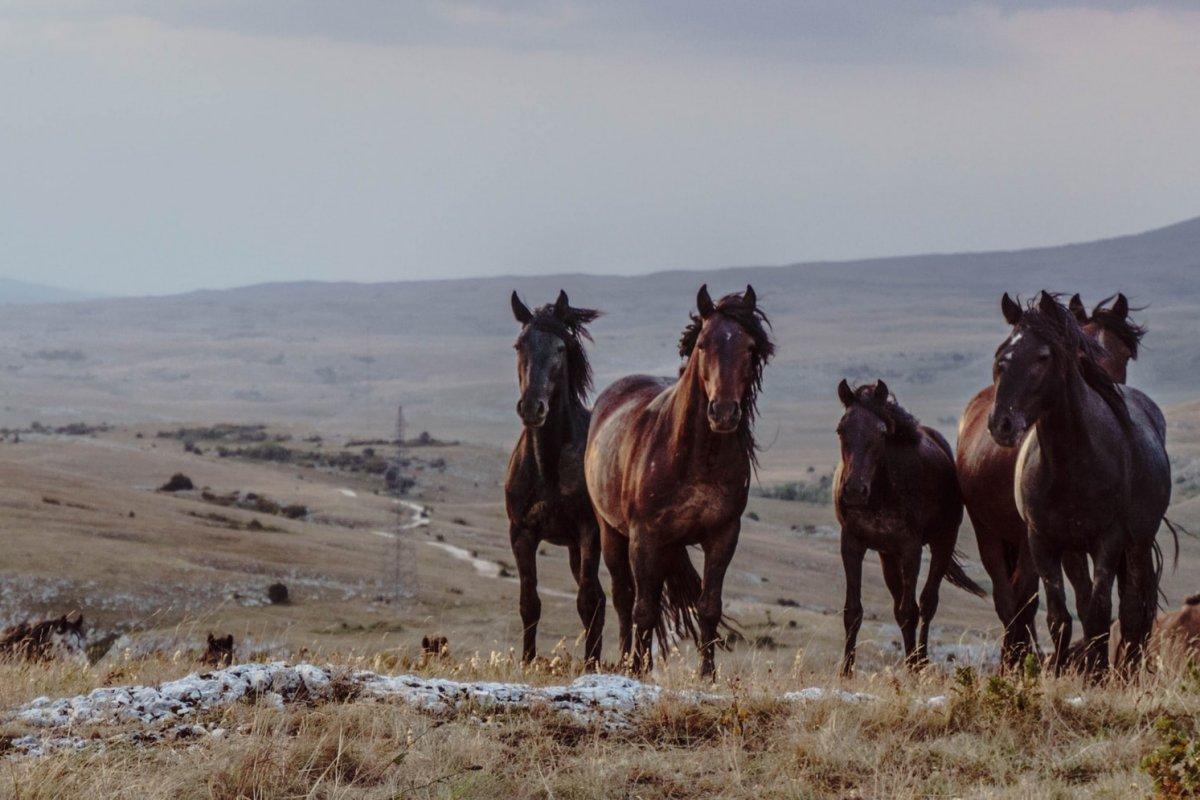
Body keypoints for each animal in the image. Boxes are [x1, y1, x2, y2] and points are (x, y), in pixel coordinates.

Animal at [501, 291, 604, 666]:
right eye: (519, 345)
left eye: (561, 348)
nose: (533, 407)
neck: (548, 466)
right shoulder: (522, 533)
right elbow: (529, 603)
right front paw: (528, 661)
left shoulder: (590, 532)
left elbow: (586, 601)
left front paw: (591, 667)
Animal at [585, 284, 772, 681]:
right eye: (702, 343)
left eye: (750, 347)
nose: (724, 413)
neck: (695, 458)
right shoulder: (645, 535)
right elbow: (642, 607)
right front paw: (636, 670)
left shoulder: (723, 534)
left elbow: (709, 605)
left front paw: (707, 674)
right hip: (612, 533)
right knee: (625, 597)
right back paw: (627, 660)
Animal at [835, 381, 984, 676]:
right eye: (841, 429)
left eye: (881, 432)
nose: (855, 490)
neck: (881, 489)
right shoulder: (852, 544)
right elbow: (853, 611)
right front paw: (846, 671)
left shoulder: (910, 549)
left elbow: (910, 611)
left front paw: (914, 668)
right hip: (887, 556)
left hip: (942, 543)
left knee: (927, 604)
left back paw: (921, 661)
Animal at [984, 293, 1171, 676]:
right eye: (1000, 355)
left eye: (1042, 357)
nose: (1002, 424)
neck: (1072, 465)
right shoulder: (1042, 541)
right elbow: (1060, 616)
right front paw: (1058, 675)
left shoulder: (1109, 540)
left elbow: (1101, 612)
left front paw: (1098, 676)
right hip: (1073, 549)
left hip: (1138, 543)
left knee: (1132, 611)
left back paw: (1124, 673)